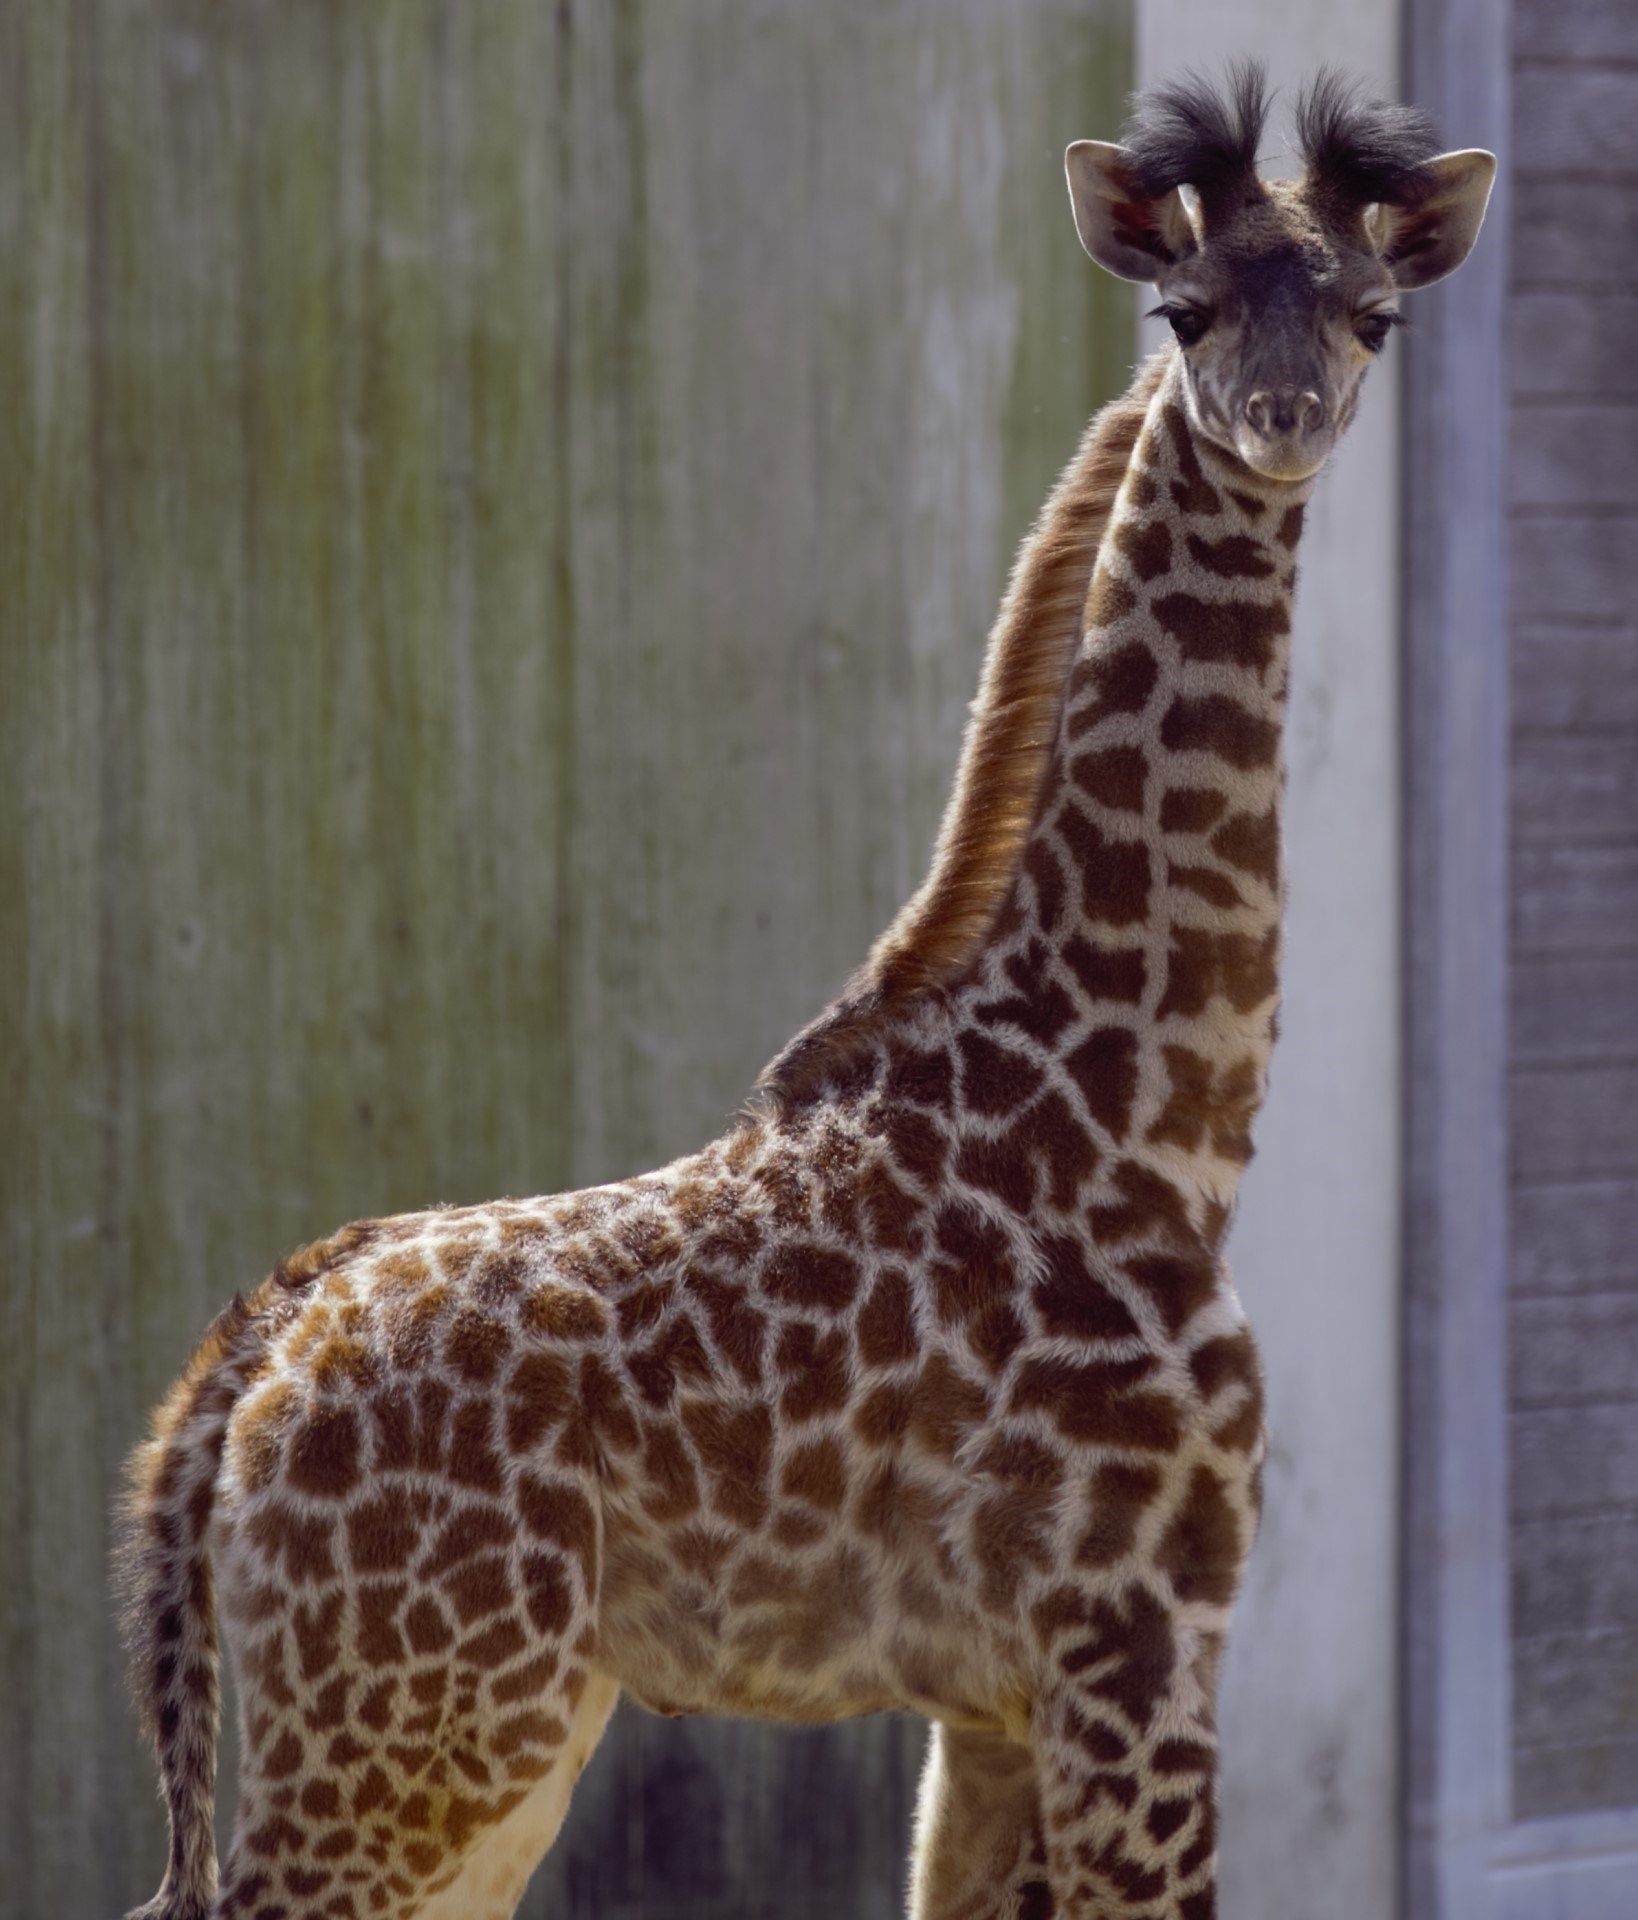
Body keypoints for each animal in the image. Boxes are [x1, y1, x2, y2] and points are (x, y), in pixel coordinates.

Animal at [117, 68, 1494, 1920]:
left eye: (1369, 314)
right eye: (1184, 310)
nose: (1277, 415)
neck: (1148, 1120)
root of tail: (238, 1371)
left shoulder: (995, 1700)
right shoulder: (1140, 1640)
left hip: (483, 1742)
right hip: (412, 1729)